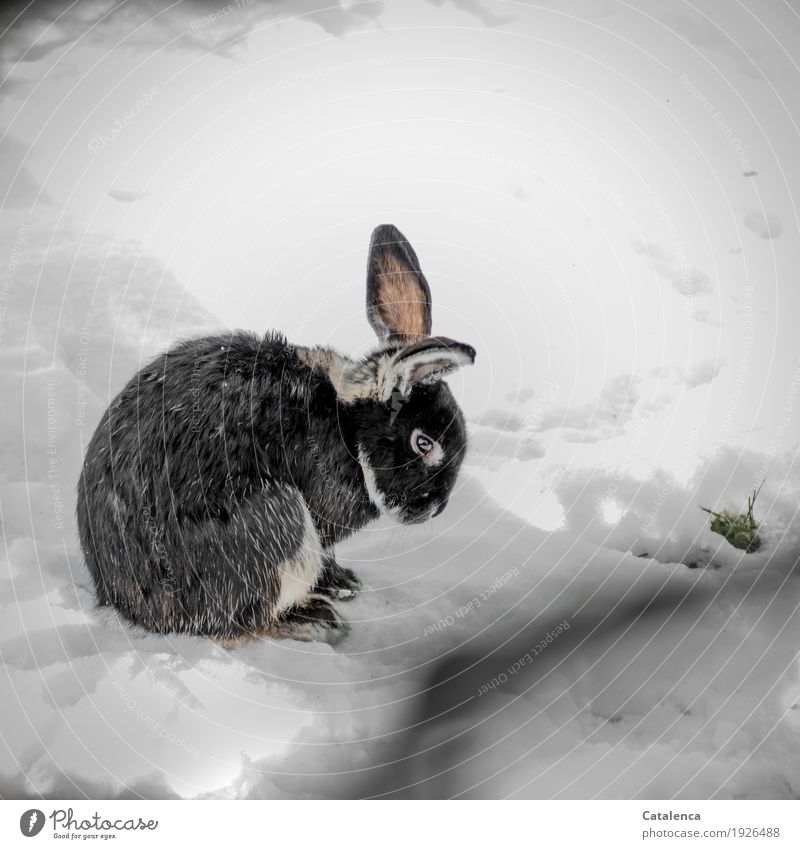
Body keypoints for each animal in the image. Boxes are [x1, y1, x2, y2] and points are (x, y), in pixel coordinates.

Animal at [75, 225, 476, 644]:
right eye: (423, 443)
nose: (436, 508)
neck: (346, 428)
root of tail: (127, 605)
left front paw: (344, 582)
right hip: (276, 523)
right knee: (245, 622)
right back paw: (315, 619)